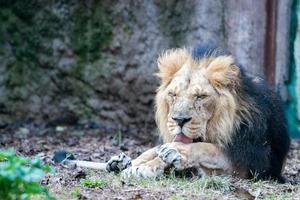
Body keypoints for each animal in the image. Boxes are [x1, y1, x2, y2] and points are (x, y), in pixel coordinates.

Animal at [120, 44, 290, 182]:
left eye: (200, 96)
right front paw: (139, 165)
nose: (179, 120)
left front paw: (172, 153)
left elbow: (206, 148)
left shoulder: (252, 161)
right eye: (173, 95)